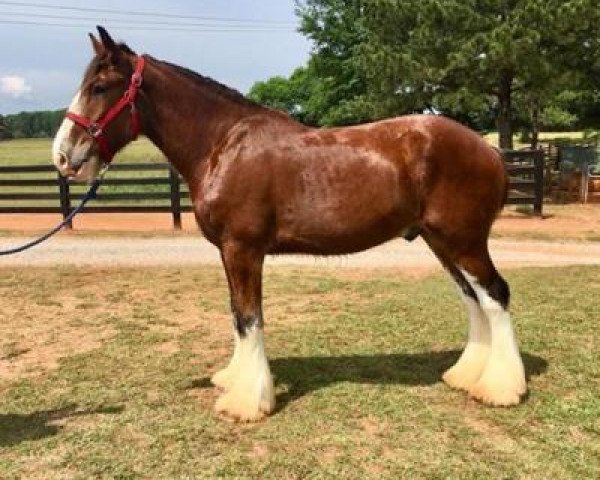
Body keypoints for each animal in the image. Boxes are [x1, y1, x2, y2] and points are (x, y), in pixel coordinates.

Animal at [51, 28, 524, 422]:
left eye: (99, 86)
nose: (63, 156)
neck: (223, 144)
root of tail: (488, 150)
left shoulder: (243, 249)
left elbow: (249, 318)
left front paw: (248, 401)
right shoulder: (230, 252)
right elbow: (237, 315)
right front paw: (235, 380)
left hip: (464, 242)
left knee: (495, 295)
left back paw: (502, 389)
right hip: (440, 243)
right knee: (473, 298)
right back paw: (466, 375)